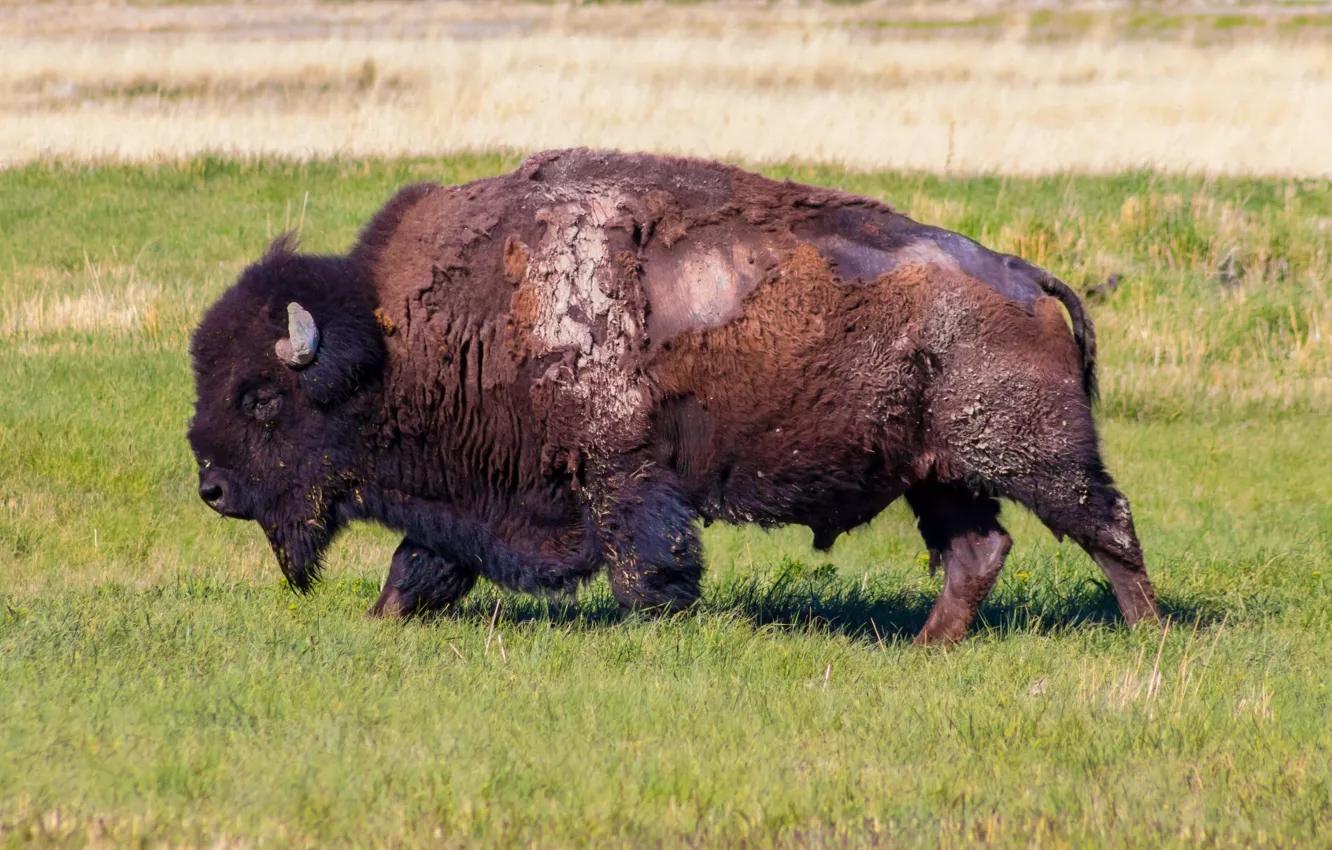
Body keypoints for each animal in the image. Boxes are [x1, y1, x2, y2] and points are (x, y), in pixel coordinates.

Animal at [188, 149, 1159, 643]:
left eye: (263, 398)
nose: (211, 488)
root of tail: (1023, 275)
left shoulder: (621, 474)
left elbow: (646, 561)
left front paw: (659, 626)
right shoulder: (470, 497)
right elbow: (420, 561)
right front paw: (381, 615)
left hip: (1031, 455)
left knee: (1106, 526)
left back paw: (1146, 632)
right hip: (938, 474)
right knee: (978, 550)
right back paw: (927, 647)